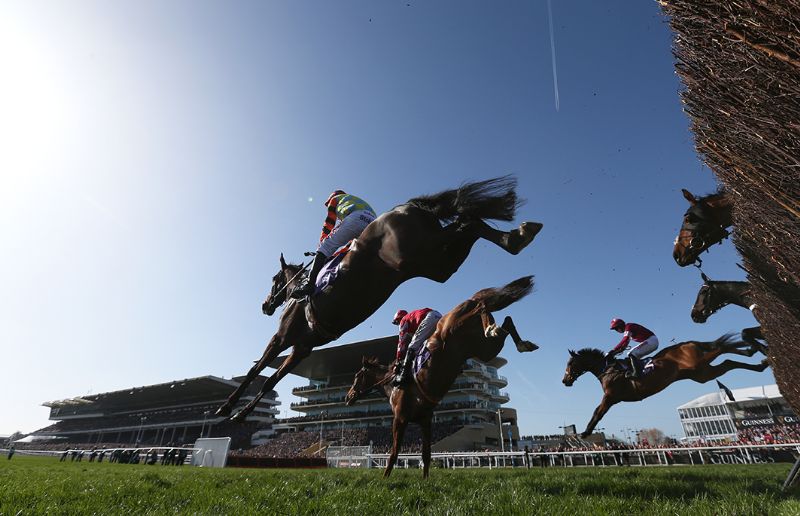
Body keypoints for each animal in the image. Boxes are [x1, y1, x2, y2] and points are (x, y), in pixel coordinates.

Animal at [217, 176, 544, 420]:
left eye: (274, 280)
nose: (265, 305)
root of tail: (408, 206)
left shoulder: (284, 338)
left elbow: (257, 370)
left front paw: (228, 407)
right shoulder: (303, 348)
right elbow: (272, 379)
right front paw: (240, 412)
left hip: (418, 254)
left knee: (468, 223)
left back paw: (517, 238)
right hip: (436, 265)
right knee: (469, 223)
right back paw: (517, 237)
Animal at [344, 276, 536, 478]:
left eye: (356, 376)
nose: (348, 397)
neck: (393, 384)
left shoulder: (400, 418)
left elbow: (394, 453)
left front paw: (385, 478)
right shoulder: (425, 420)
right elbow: (426, 454)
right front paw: (425, 480)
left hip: (462, 329)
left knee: (482, 307)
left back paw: (492, 327)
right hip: (483, 348)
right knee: (504, 322)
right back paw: (520, 342)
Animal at [564, 334, 768, 440]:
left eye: (570, 363)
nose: (564, 380)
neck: (608, 369)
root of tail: (688, 343)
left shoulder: (611, 396)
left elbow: (597, 412)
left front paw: (585, 432)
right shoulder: (612, 398)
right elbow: (597, 412)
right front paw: (585, 432)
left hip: (699, 363)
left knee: (721, 348)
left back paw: (753, 346)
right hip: (701, 373)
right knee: (727, 361)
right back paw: (759, 359)